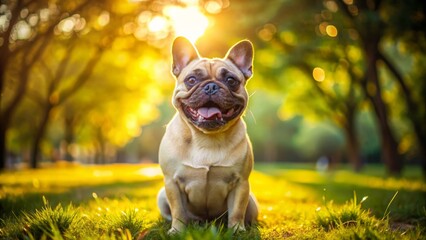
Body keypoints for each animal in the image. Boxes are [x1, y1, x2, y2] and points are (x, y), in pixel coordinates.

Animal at [156, 36, 256, 233]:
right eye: (191, 79)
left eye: (231, 80)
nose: (211, 86)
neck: (206, 137)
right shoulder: (172, 183)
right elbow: (178, 210)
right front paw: (177, 231)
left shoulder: (241, 183)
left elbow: (237, 211)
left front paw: (237, 231)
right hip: (162, 196)